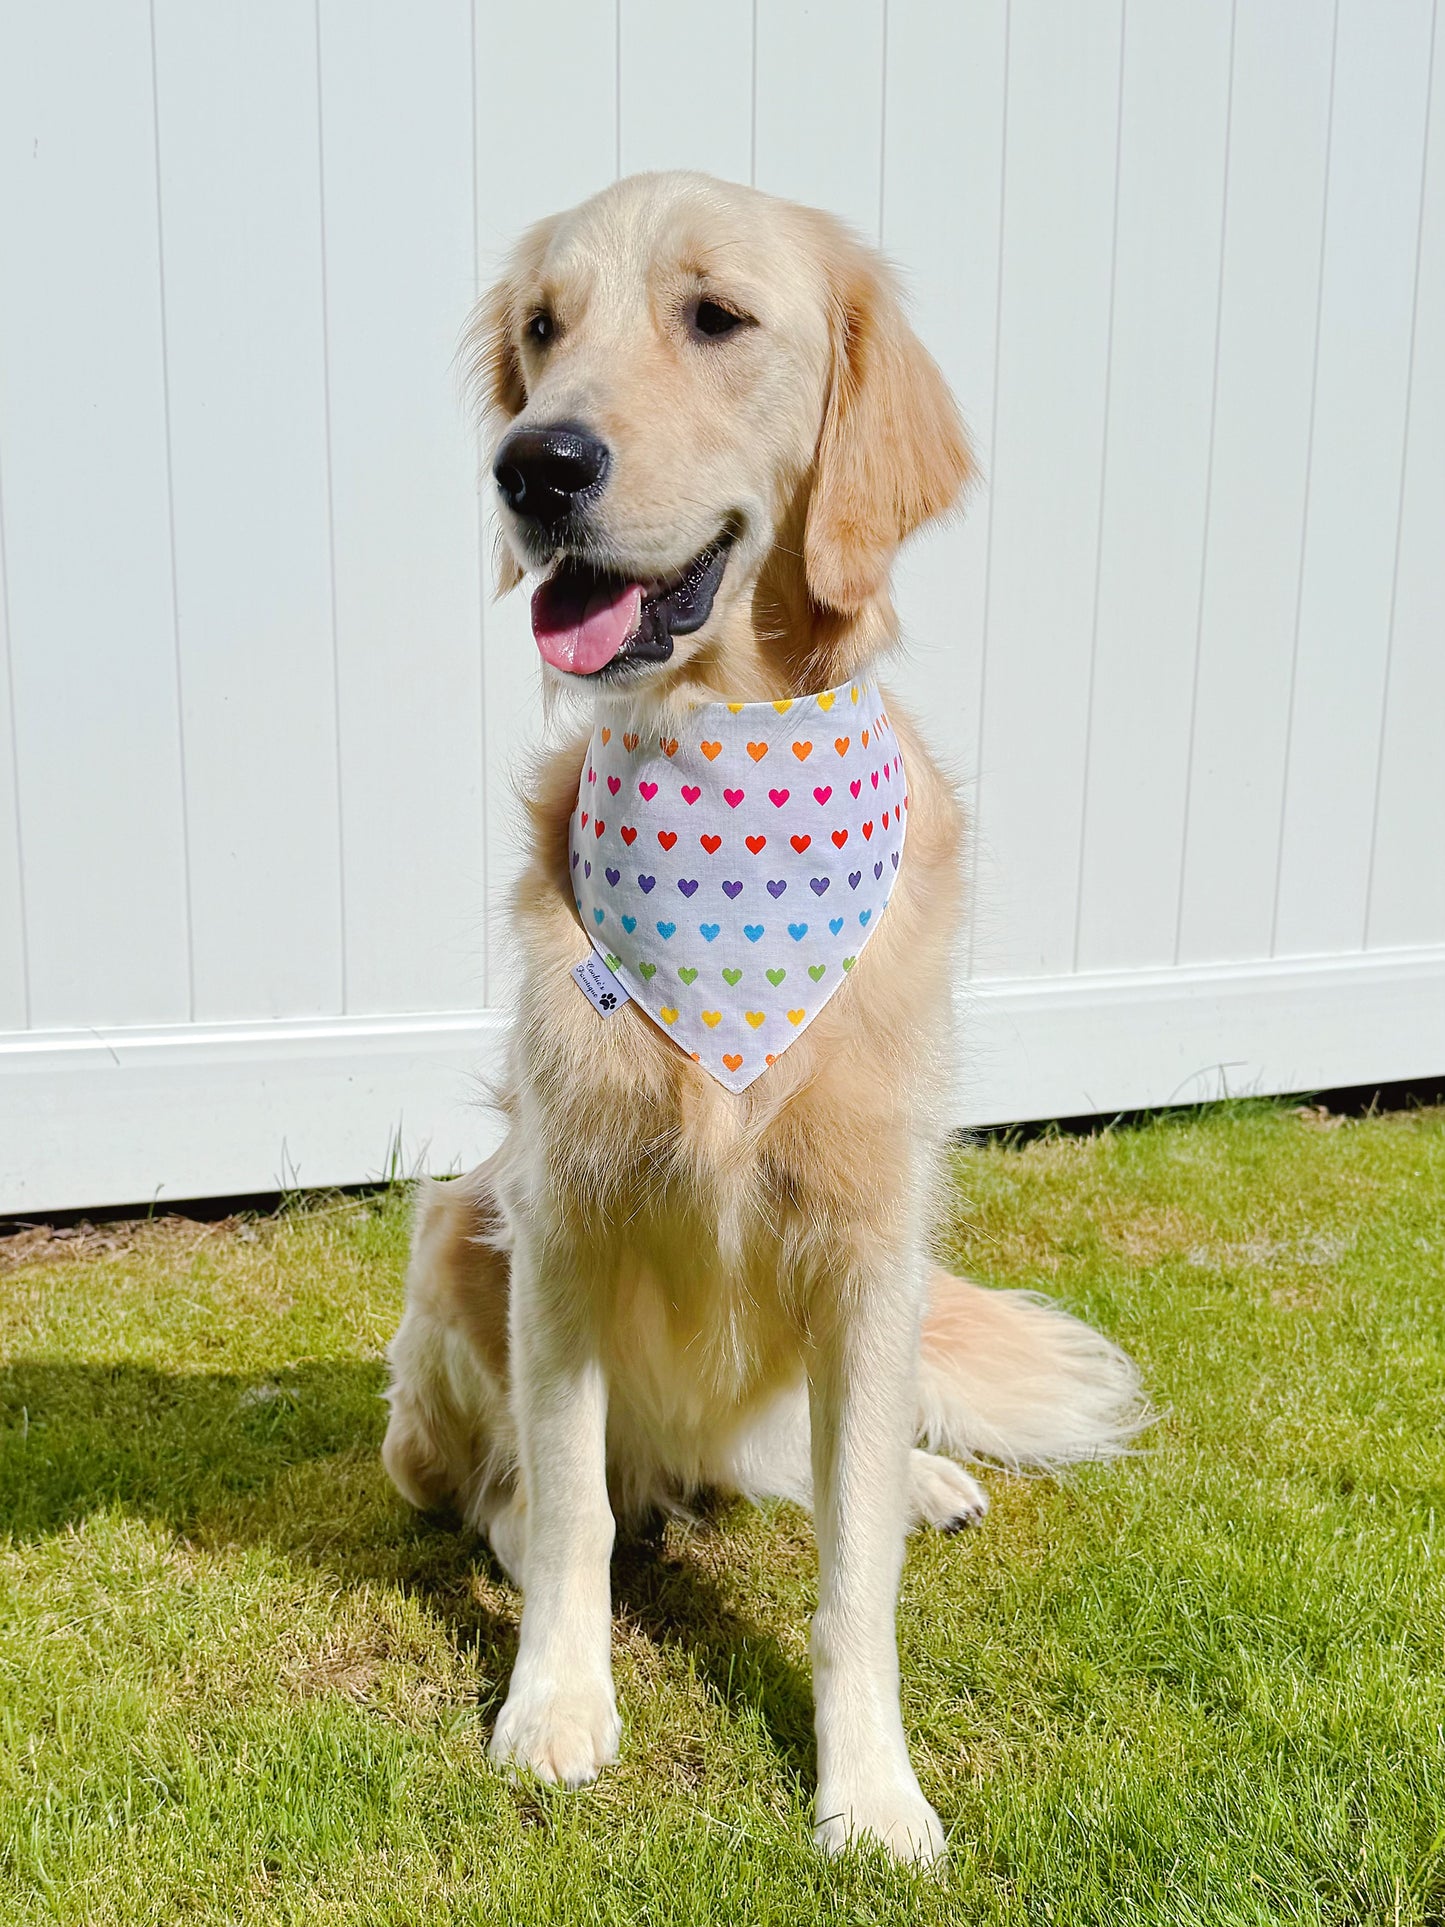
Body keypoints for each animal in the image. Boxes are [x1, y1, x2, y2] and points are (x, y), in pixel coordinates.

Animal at [381, 173, 1140, 1857]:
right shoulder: (564, 1211)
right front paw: (555, 1701)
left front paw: (871, 1786)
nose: (534, 465)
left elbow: (856, 1575)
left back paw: (918, 1477)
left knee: (808, 1460)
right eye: (545, 330)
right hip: (463, 1221)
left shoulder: (867, 1245)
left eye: (716, 317)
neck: (720, 741)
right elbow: (571, 1507)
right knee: (511, 1486)